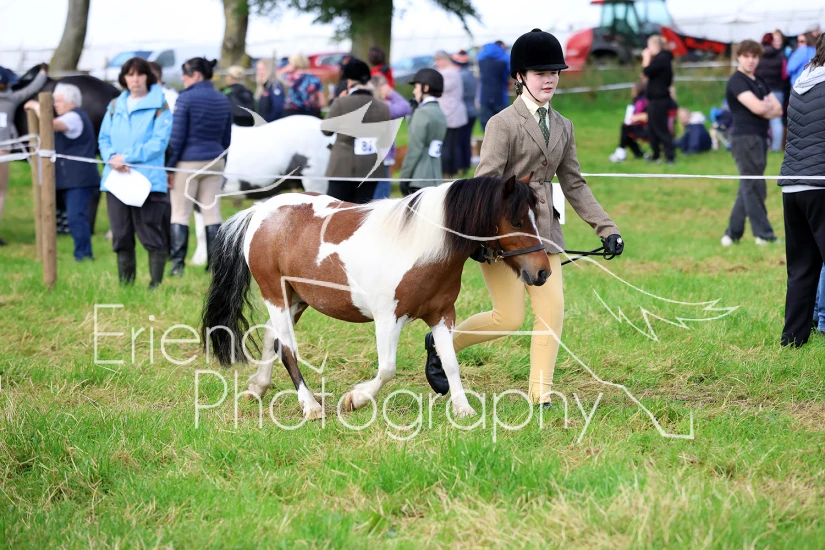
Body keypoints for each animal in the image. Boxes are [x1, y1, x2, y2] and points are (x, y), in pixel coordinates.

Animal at [202, 174, 551, 421]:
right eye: (517, 220)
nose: (542, 272)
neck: (421, 248)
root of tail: (261, 211)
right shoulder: (387, 320)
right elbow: (387, 369)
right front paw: (355, 399)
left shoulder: (442, 315)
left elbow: (450, 362)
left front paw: (463, 409)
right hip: (274, 293)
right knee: (287, 349)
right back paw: (310, 407)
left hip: (295, 299)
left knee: (271, 339)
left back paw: (258, 388)